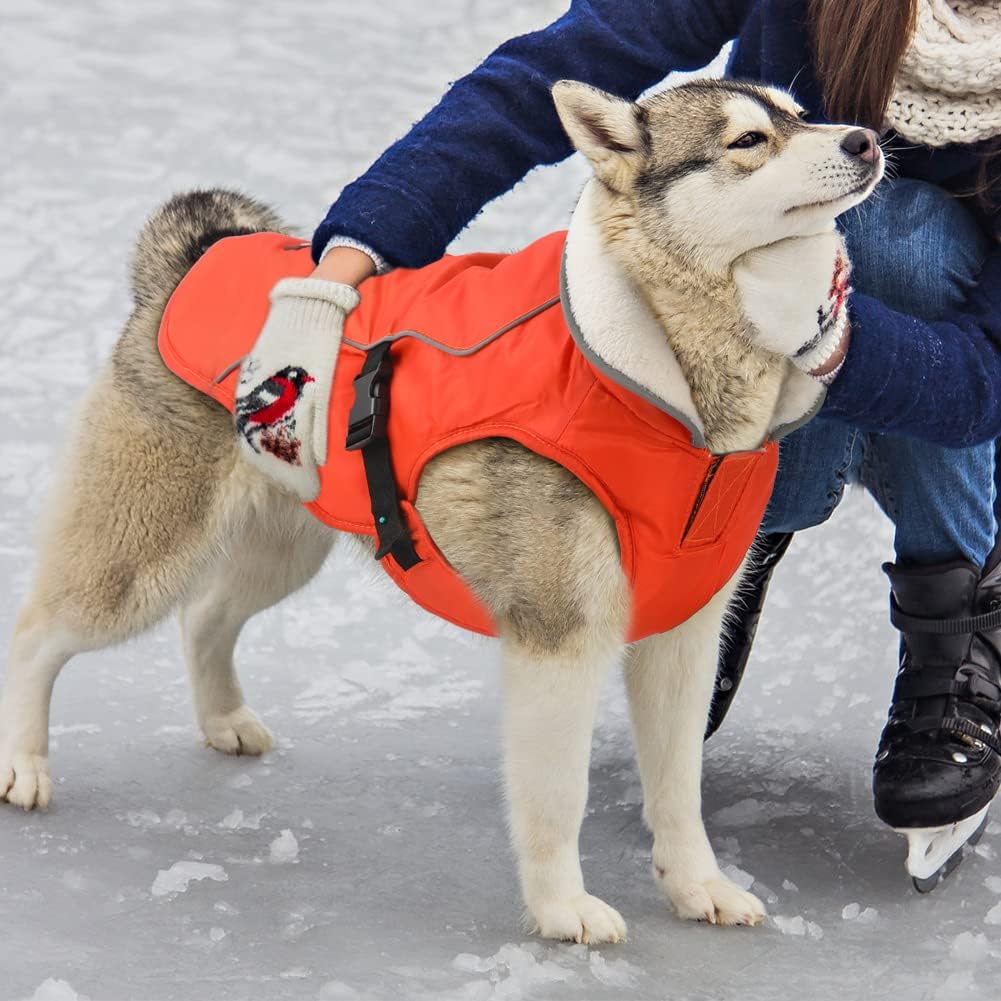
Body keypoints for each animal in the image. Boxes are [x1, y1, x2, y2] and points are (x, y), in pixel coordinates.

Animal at [0, 76, 880, 936]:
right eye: (745, 140)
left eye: (798, 113)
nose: (864, 140)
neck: (665, 390)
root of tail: (192, 261)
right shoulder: (558, 635)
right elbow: (556, 797)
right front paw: (561, 908)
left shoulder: (685, 636)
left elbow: (677, 790)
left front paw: (697, 886)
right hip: (137, 557)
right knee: (39, 633)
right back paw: (22, 760)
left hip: (287, 544)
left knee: (205, 617)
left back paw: (223, 718)